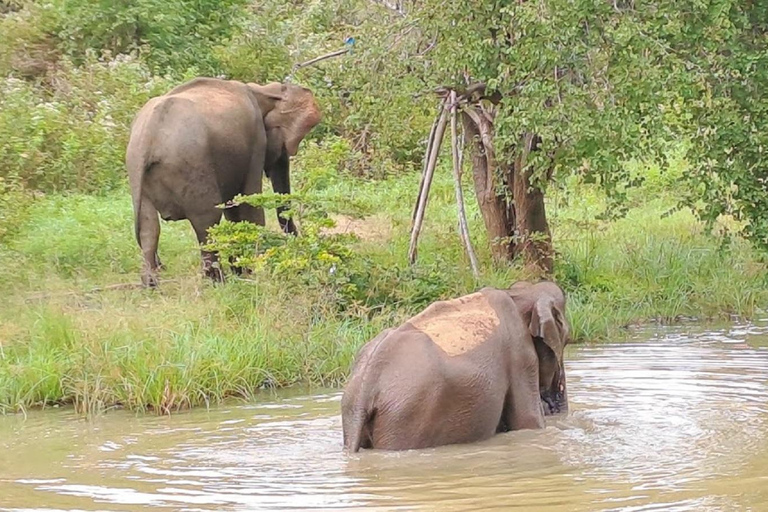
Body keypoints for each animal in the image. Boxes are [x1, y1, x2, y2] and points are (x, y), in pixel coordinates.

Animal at [125, 76, 320, 286]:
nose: (300, 260)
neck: (263, 90)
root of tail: (148, 136)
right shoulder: (256, 140)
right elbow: (249, 203)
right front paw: (252, 271)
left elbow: (233, 206)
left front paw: (241, 270)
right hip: (192, 164)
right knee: (207, 221)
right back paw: (218, 282)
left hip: (138, 171)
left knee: (149, 227)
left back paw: (151, 285)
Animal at [342, 280, 568, 452]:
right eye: (565, 341)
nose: (552, 404)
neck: (519, 293)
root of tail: (365, 388)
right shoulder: (520, 353)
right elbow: (528, 421)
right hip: (406, 417)